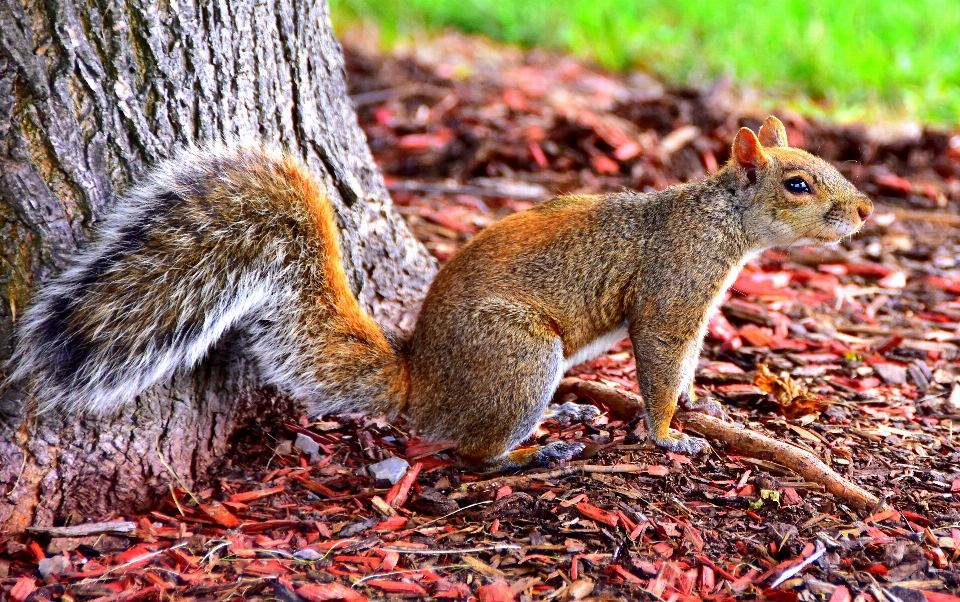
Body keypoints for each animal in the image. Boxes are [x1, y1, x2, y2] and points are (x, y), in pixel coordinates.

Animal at [9, 116, 872, 468]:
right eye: (799, 183)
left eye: (826, 164)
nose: (864, 210)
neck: (720, 225)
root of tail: (419, 384)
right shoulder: (671, 291)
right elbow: (660, 359)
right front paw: (666, 435)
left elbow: (685, 368)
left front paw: (700, 402)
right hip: (521, 356)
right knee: (471, 452)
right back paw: (531, 453)